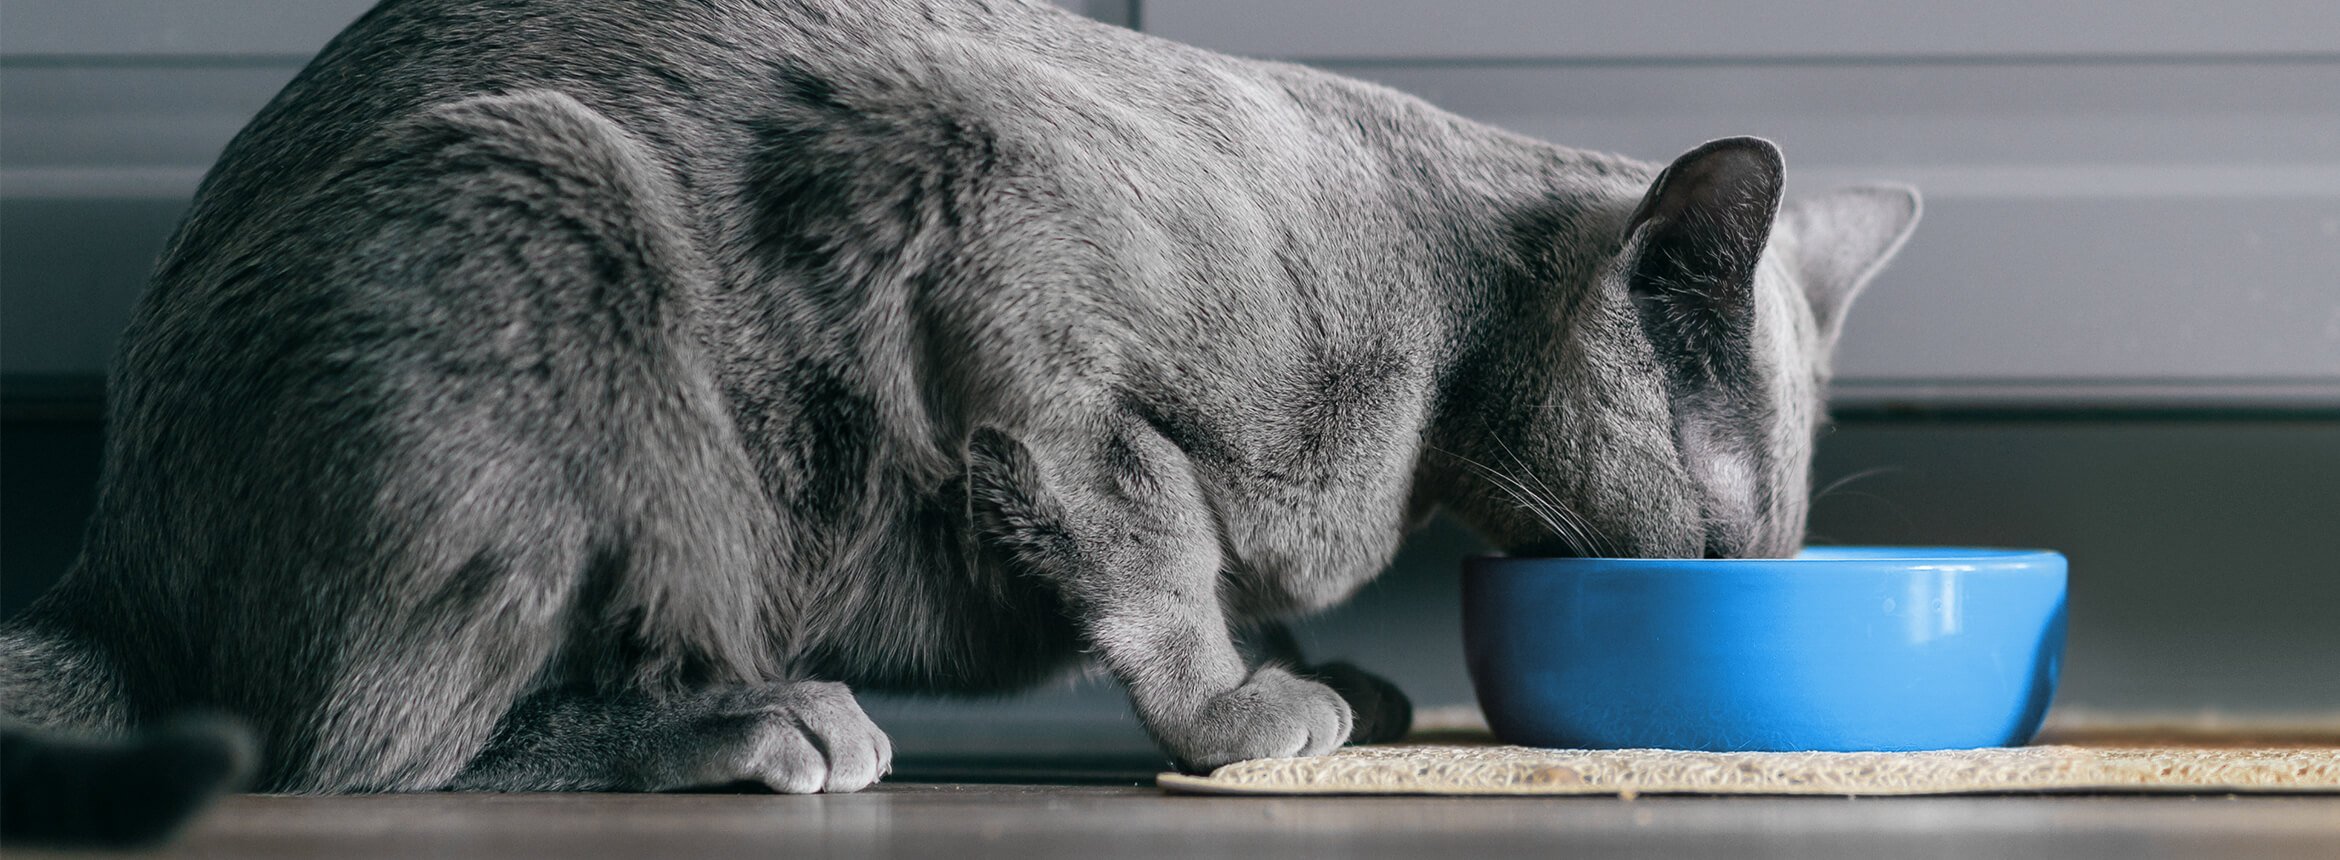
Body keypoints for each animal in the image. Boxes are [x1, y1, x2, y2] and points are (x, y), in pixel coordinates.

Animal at [0, 0, 1918, 831]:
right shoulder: (1012, 260)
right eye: (1727, 537)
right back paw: (744, 726)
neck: (1435, 368)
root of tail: (103, 566)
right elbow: (1159, 543)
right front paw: (1244, 709)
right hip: (544, 197)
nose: (1744, 578)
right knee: (353, 745)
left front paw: (1336, 676)